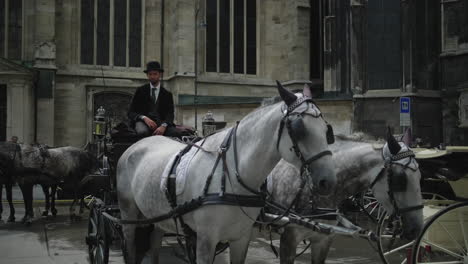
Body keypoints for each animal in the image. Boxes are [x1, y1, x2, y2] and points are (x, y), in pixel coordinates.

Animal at [116, 83, 336, 264]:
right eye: (299, 129)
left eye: (327, 130)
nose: (327, 182)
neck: (231, 178)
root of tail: (138, 144)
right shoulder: (205, 240)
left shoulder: (241, 238)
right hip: (128, 214)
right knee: (130, 244)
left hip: (157, 216)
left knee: (154, 241)